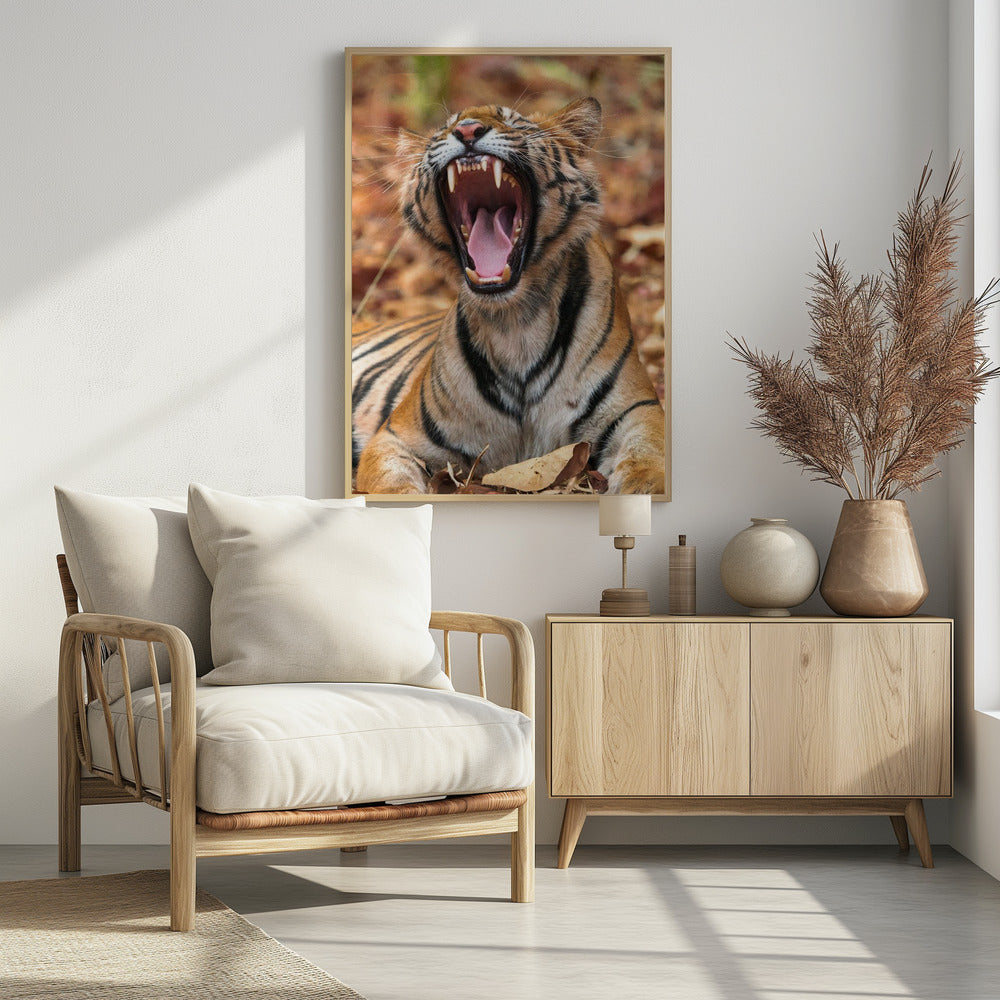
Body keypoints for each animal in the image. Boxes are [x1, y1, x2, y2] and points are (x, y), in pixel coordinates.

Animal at [352, 96, 665, 495]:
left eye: (513, 121)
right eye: (446, 127)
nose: (467, 130)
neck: (516, 323)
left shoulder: (638, 411)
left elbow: (648, 454)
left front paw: (643, 489)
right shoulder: (396, 435)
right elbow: (394, 483)